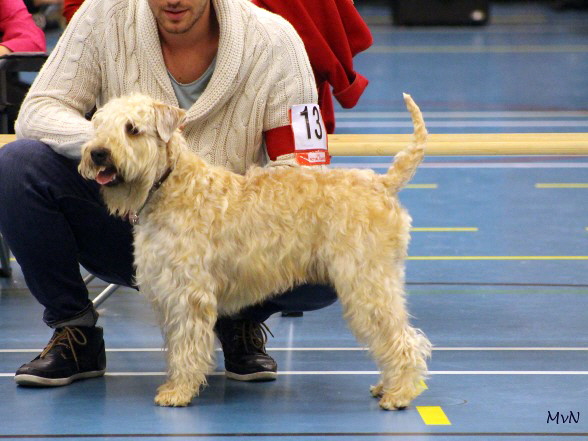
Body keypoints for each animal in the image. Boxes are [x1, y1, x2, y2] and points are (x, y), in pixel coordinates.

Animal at [78, 92, 432, 410]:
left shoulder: (188, 294)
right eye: (98, 124)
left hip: (366, 282)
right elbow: (177, 344)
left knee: (401, 338)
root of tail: (382, 184)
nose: (98, 153)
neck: (171, 186)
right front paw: (175, 384)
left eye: (132, 129)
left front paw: (179, 392)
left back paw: (399, 393)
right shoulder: (168, 288)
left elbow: (187, 345)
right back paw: (387, 386)